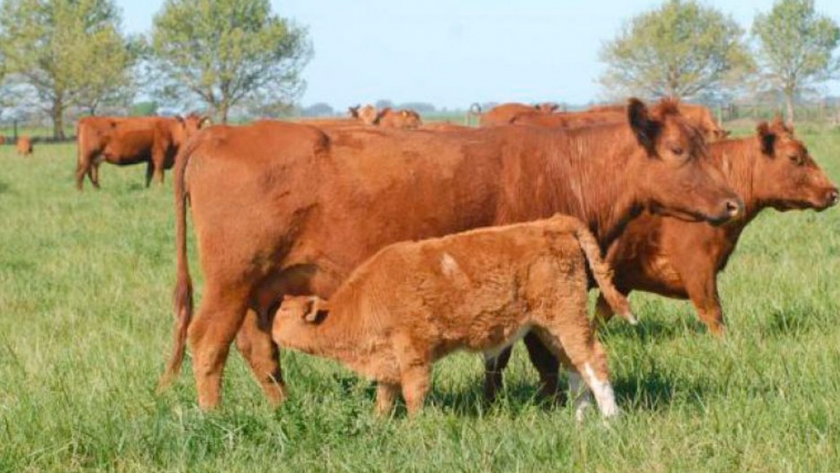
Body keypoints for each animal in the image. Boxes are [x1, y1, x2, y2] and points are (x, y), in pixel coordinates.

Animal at [75, 113, 207, 189]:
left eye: (199, 125)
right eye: (184, 125)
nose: (195, 135)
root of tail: (86, 119)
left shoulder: (150, 159)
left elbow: (148, 175)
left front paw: (148, 189)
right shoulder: (159, 155)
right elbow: (160, 174)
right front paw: (160, 189)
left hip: (93, 158)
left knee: (90, 173)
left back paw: (97, 189)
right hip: (87, 156)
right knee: (80, 174)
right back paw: (81, 192)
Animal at [276, 215, 636, 416]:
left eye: (282, 311)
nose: (270, 325)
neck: (363, 300)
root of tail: (552, 222)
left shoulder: (414, 355)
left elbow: (414, 395)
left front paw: (414, 430)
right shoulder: (388, 361)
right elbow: (384, 399)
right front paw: (379, 426)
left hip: (567, 318)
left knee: (593, 359)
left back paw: (610, 420)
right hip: (550, 328)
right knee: (575, 365)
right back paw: (580, 420)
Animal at [592, 118, 836, 334]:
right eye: (794, 157)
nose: (833, 192)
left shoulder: (621, 279)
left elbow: (598, 319)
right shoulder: (698, 269)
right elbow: (714, 316)